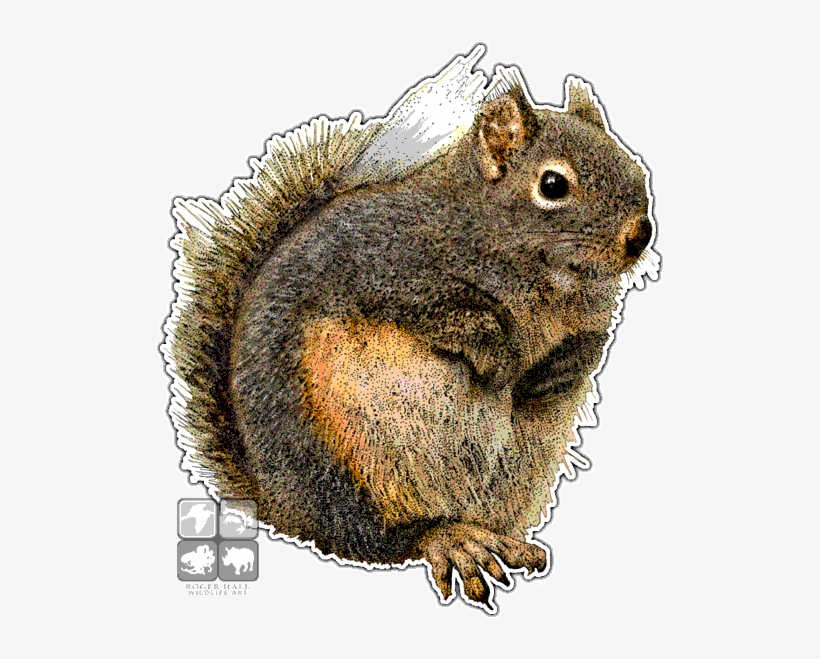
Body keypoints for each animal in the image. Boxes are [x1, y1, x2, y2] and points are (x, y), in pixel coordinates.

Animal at [163, 45, 658, 612]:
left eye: (630, 165)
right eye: (553, 185)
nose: (640, 235)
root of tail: (277, 505)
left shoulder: (592, 317)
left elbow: (589, 345)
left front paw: (552, 371)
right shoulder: (387, 270)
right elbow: (451, 314)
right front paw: (497, 360)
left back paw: (499, 540)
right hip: (340, 457)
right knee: (377, 536)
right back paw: (449, 538)